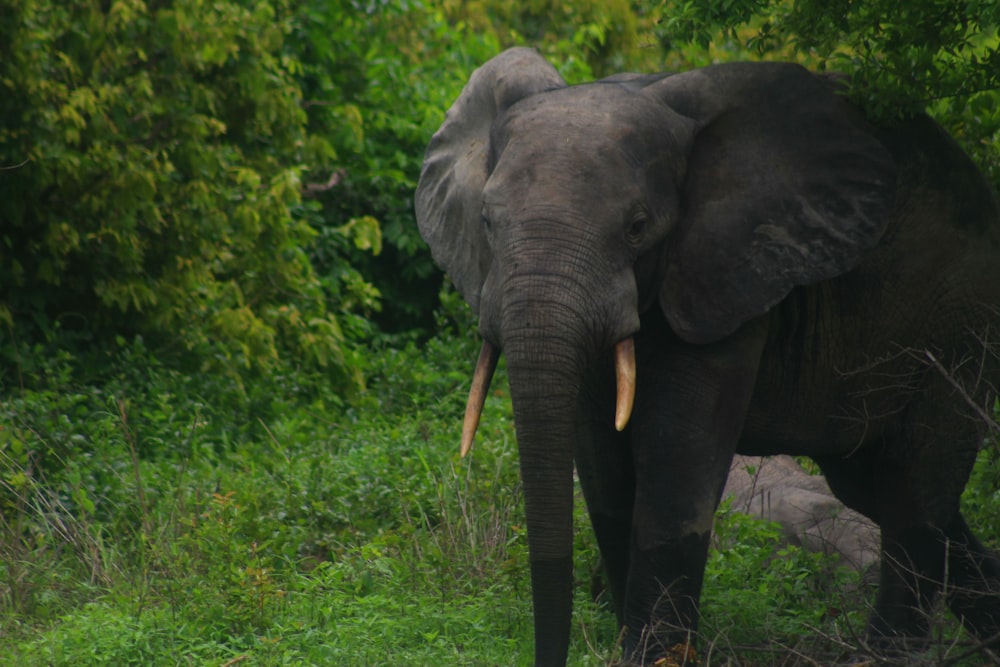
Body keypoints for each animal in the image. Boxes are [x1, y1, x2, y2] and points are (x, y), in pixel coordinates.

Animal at [412, 44, 1000, 664]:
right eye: (486, 222)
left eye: (638, 227)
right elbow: (603, 471)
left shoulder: (731, 269)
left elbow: (678, 460)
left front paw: (652, 656)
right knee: (879, 487)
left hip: (961, 318)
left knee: (916, 490)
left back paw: (889, 655)